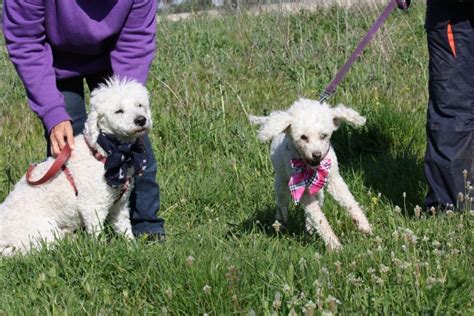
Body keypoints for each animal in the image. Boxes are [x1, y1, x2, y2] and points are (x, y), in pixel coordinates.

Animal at [0, 77, 152, 256]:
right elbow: (97, 235)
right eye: (119, 111)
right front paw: (101, 252)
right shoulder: (92, 207)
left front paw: (133, 249)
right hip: (44, 231)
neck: (109, 152)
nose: (141, 120)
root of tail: (4, 246)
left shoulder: (120, 206)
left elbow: (125, 229)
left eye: (139, 105)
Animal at [250, 99, 372, 252]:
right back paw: (280, 222)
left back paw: (309, 226)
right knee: (281, 202)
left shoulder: (334, 178)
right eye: (303, 137)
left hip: (317, 190)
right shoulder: (301, 189)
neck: (310, 166)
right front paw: (334, 244)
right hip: (281, 181)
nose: (317, 154)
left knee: (315, 204)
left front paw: (364, 225)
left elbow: (349, 202)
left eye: (323, 135)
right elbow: (319, 218)